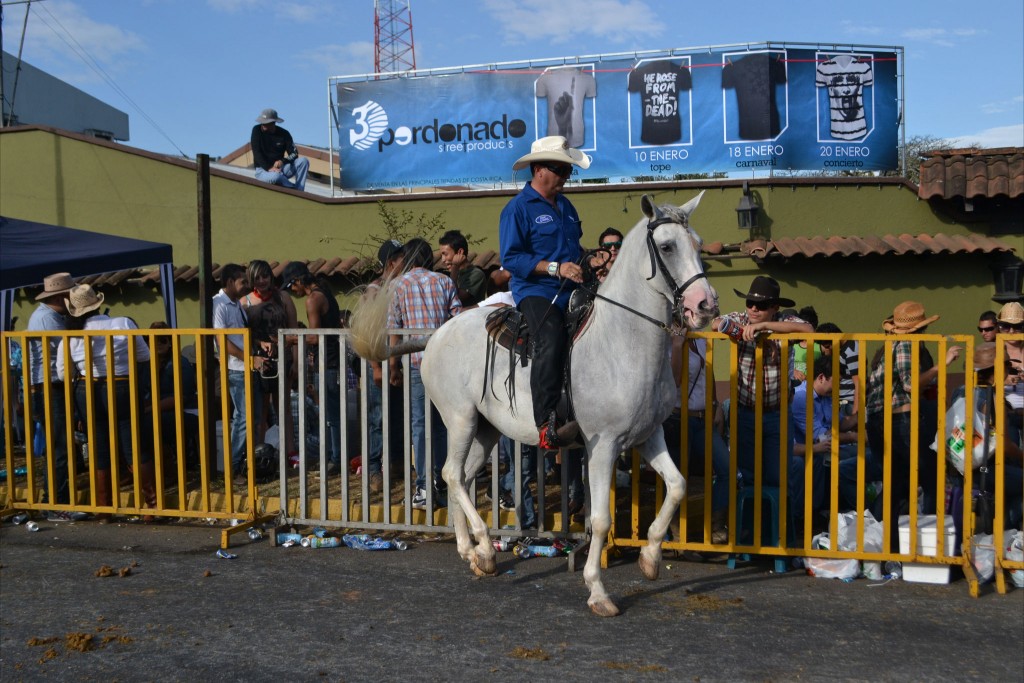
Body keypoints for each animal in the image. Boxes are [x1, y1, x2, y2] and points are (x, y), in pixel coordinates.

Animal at [356, 191, 716, 614]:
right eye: (667, 246)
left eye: (698, 243)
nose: (706, 305)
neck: (621, 343)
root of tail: (437, 334)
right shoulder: (603, 446)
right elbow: (600, 520)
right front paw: (598, 591)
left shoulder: (648, 435)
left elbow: (676, 486)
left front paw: (650, 558)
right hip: (460, 419)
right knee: (450, 474)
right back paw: (482, 545)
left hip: (486, 430)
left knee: (460, 475)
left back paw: (474, 553)